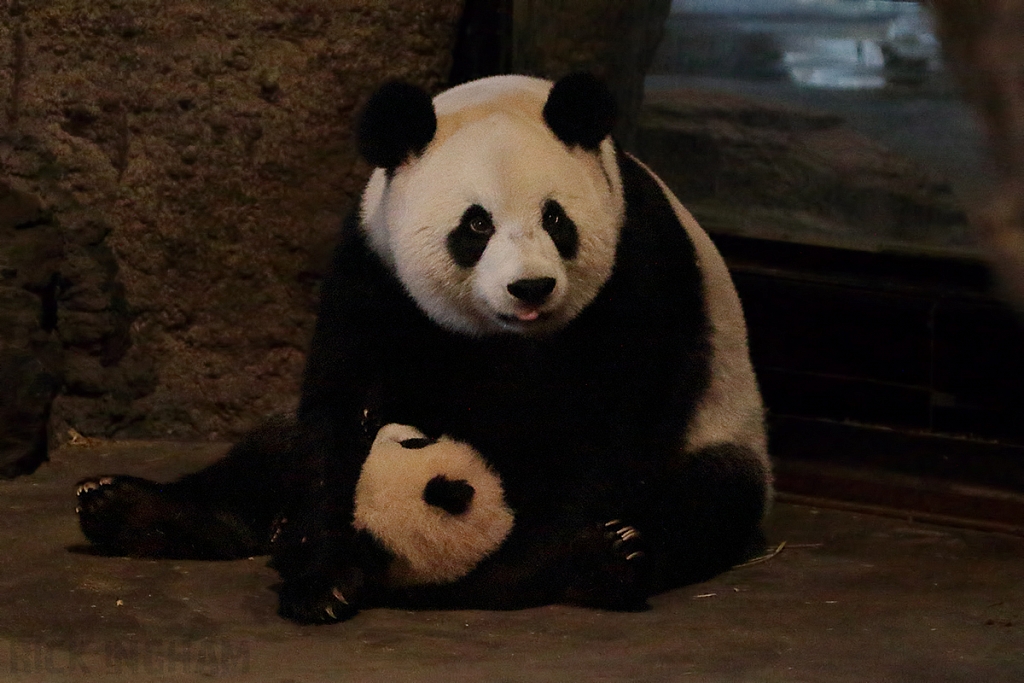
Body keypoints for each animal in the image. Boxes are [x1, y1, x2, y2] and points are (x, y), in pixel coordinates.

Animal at [74, 73, 770, 626]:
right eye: (477, 224)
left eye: (556, 219)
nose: (531, 287)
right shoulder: (373, 266)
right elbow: (338, 410)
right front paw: (321, 576)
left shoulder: (640, 269)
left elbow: (612, 430)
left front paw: (509, 566)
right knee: (268, 454)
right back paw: (128, 507)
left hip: (724, 436)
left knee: (710, 499)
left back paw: (609, 559)